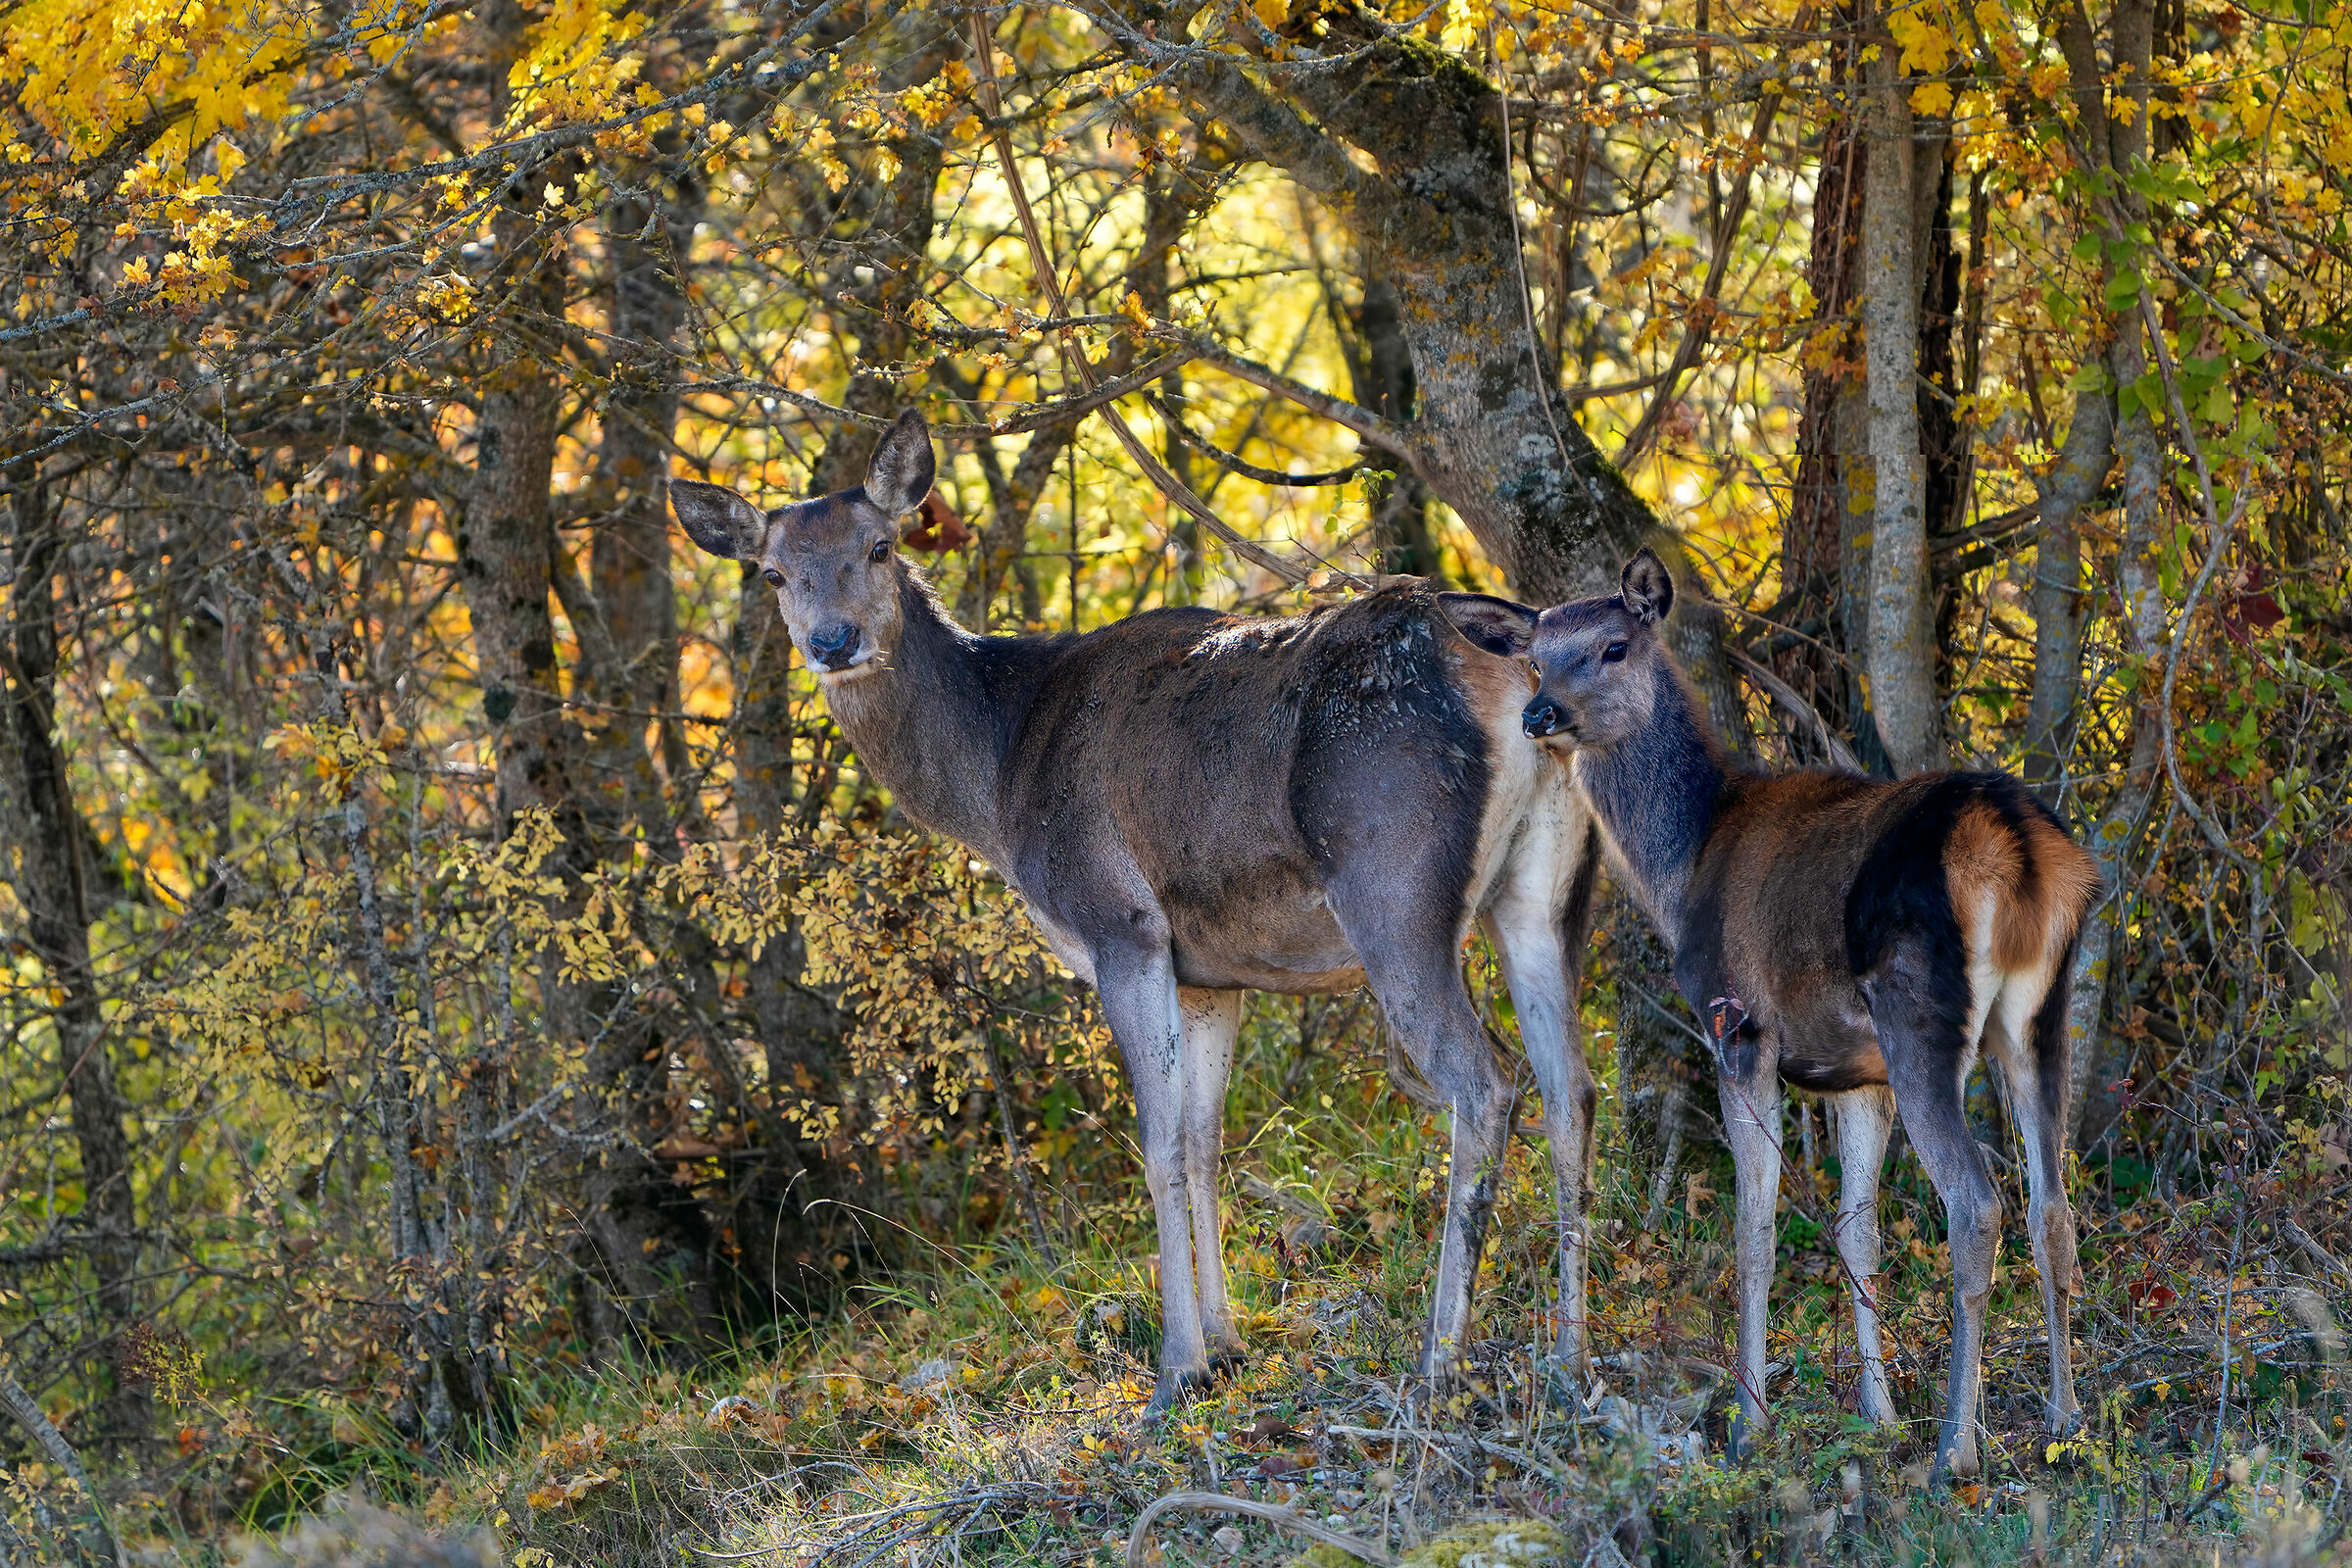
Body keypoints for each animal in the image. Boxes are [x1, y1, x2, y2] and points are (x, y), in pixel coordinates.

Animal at [671, 408, 1607, 1416]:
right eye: (773, 573)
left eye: (880, 546)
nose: (834, 640)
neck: (997, 781)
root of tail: (1519, 681)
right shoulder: (1211, 973)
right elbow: (1202, 1142)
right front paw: (1230, 1345)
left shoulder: (1122, 926)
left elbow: (1155, 1148)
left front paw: (1175, 1371)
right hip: (1545, 890)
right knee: (1573, 1087)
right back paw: (1571, 1359)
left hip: (1393, 882)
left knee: (1485, 1085)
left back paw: (1438, 1363)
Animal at [1448, 548, 2099, 1480]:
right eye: (1536, 658)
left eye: (1613, 646)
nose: (1541, 714)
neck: (1684, 867)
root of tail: (2017, 848)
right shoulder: (1856, 1073)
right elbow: (1857, 1234)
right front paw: (1878, 1414)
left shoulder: (1741, 1025)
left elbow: (1754, 1229)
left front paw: (1751, 1425)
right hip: (2043, 1011)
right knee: (2054, 1207)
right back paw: (2063, 1420)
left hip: (1918, 1007)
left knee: (1978, 1206)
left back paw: (1957, 1449)